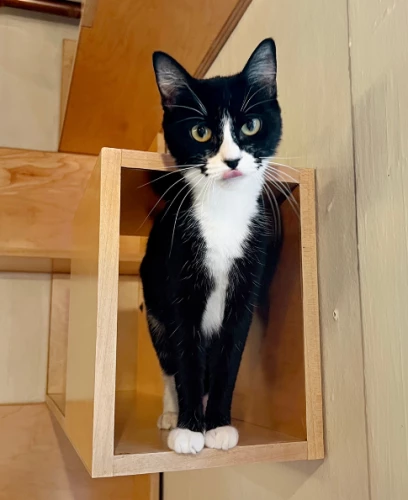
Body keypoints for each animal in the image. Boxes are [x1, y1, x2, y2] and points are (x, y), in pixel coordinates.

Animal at [140, 38, 283, 454]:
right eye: (201, 132)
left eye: (251, 125)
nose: (232, 160)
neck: (223, 212)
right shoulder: (178, 283)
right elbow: (185, 357)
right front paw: (189, 429)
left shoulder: (248, 279)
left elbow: (228, 357)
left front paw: (218, 425)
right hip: (152, 305)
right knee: (168, 361)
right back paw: (172, 413)